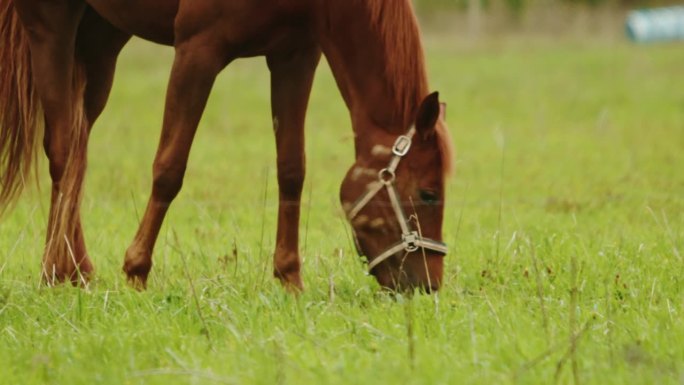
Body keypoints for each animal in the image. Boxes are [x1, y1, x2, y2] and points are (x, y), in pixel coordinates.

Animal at [0, 0, 454, 292]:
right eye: (429, 193)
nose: (429, 284)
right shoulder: (197, 50)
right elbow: (169, 167)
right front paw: (136, 270)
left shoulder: (294, 56)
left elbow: (292, 169)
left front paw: (289, 278)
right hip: (50, 26)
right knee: (63, 151)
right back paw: (56, 271)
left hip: (103, 36)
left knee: (77, 147)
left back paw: (78, 269)